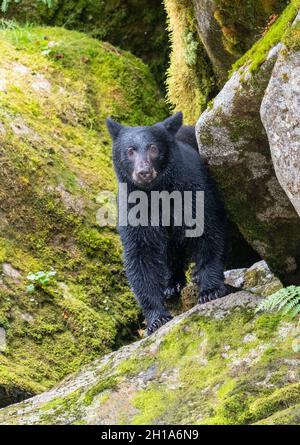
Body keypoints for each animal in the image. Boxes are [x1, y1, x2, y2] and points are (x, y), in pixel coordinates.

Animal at [106, 112, 229, 334]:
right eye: (130, 150)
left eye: (153, 148)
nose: (144, 172)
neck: (158, 193)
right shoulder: (134, 207)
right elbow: (141, 254)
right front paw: (156, 318)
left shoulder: (193, 190)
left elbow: (208, 230)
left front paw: (211, 290)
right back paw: (172, 284)